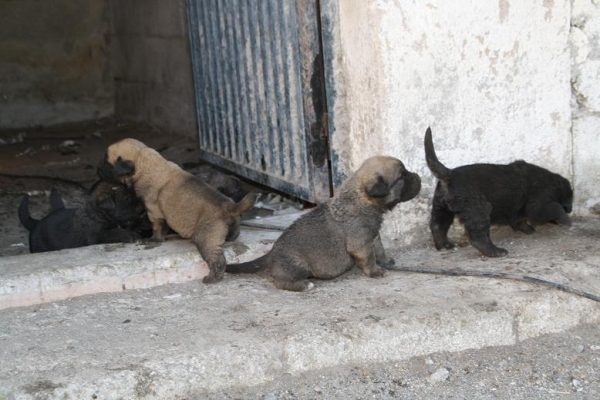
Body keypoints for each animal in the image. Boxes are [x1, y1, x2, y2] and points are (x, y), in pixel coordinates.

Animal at [98, 139, 258, 282]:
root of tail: (229, 206)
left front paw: (154, 239)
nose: (98, 169)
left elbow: (157, 228)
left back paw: (213, 278)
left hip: (205, 239)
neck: (145, 162)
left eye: (106, 162)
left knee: (217, 260)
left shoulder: (153, 212)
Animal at [225, 155, 422, 290]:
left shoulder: (373, 235)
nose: (419, 177)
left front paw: (385, 261)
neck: (362, 198)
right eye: (402, 176)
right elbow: (368, 257)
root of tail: (271, 254)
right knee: (281, 281)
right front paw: (375, 271)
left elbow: (379, 250)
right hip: (297, 265)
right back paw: (304, 285)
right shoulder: (360, 243)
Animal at [424, 128, 576, 260]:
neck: (553, 183)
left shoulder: (518, 210)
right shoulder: (538, 206)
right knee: (478, 236)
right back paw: (495, 251)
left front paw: (528, 229)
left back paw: (444, 245)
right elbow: (556, 208)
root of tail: (449, 174)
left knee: (437, 225)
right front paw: (566, 221)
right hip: (479, 209)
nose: (570, 210)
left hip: (441, 207)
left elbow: (518, 220)